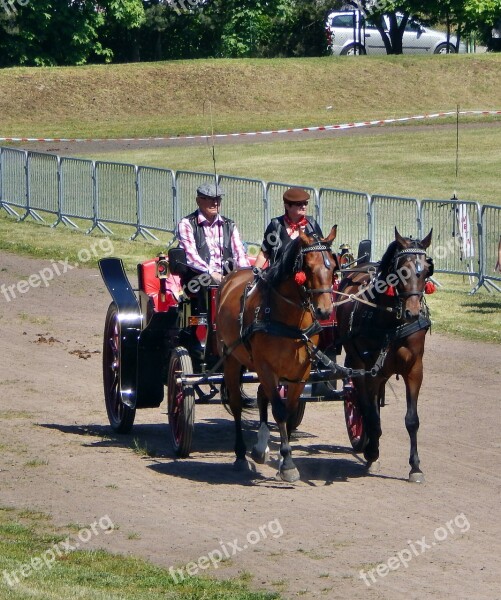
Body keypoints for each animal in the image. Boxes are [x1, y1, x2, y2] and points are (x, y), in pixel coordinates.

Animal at [215, 225, 336, 482]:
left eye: (332, 265)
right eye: (307, 267)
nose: (324, 310)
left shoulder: (300, 372)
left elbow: (287, 411)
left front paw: (282, 458)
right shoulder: (266, 367)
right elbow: (279, 411)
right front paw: (288, 463)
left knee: (262, 395)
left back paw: (260, 447)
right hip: (231, 359)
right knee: (237, 404)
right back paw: (240, 455)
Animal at [336, 226, 434, 482]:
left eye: (426, 270)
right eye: (402, 271)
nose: (412, 312)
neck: (391, 322)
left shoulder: (415, 370)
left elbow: (412, 420)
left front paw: (415, 466)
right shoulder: (369, 371)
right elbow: (371, 414)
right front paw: (372, 453)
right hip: (360, 365)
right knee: (362, 402)